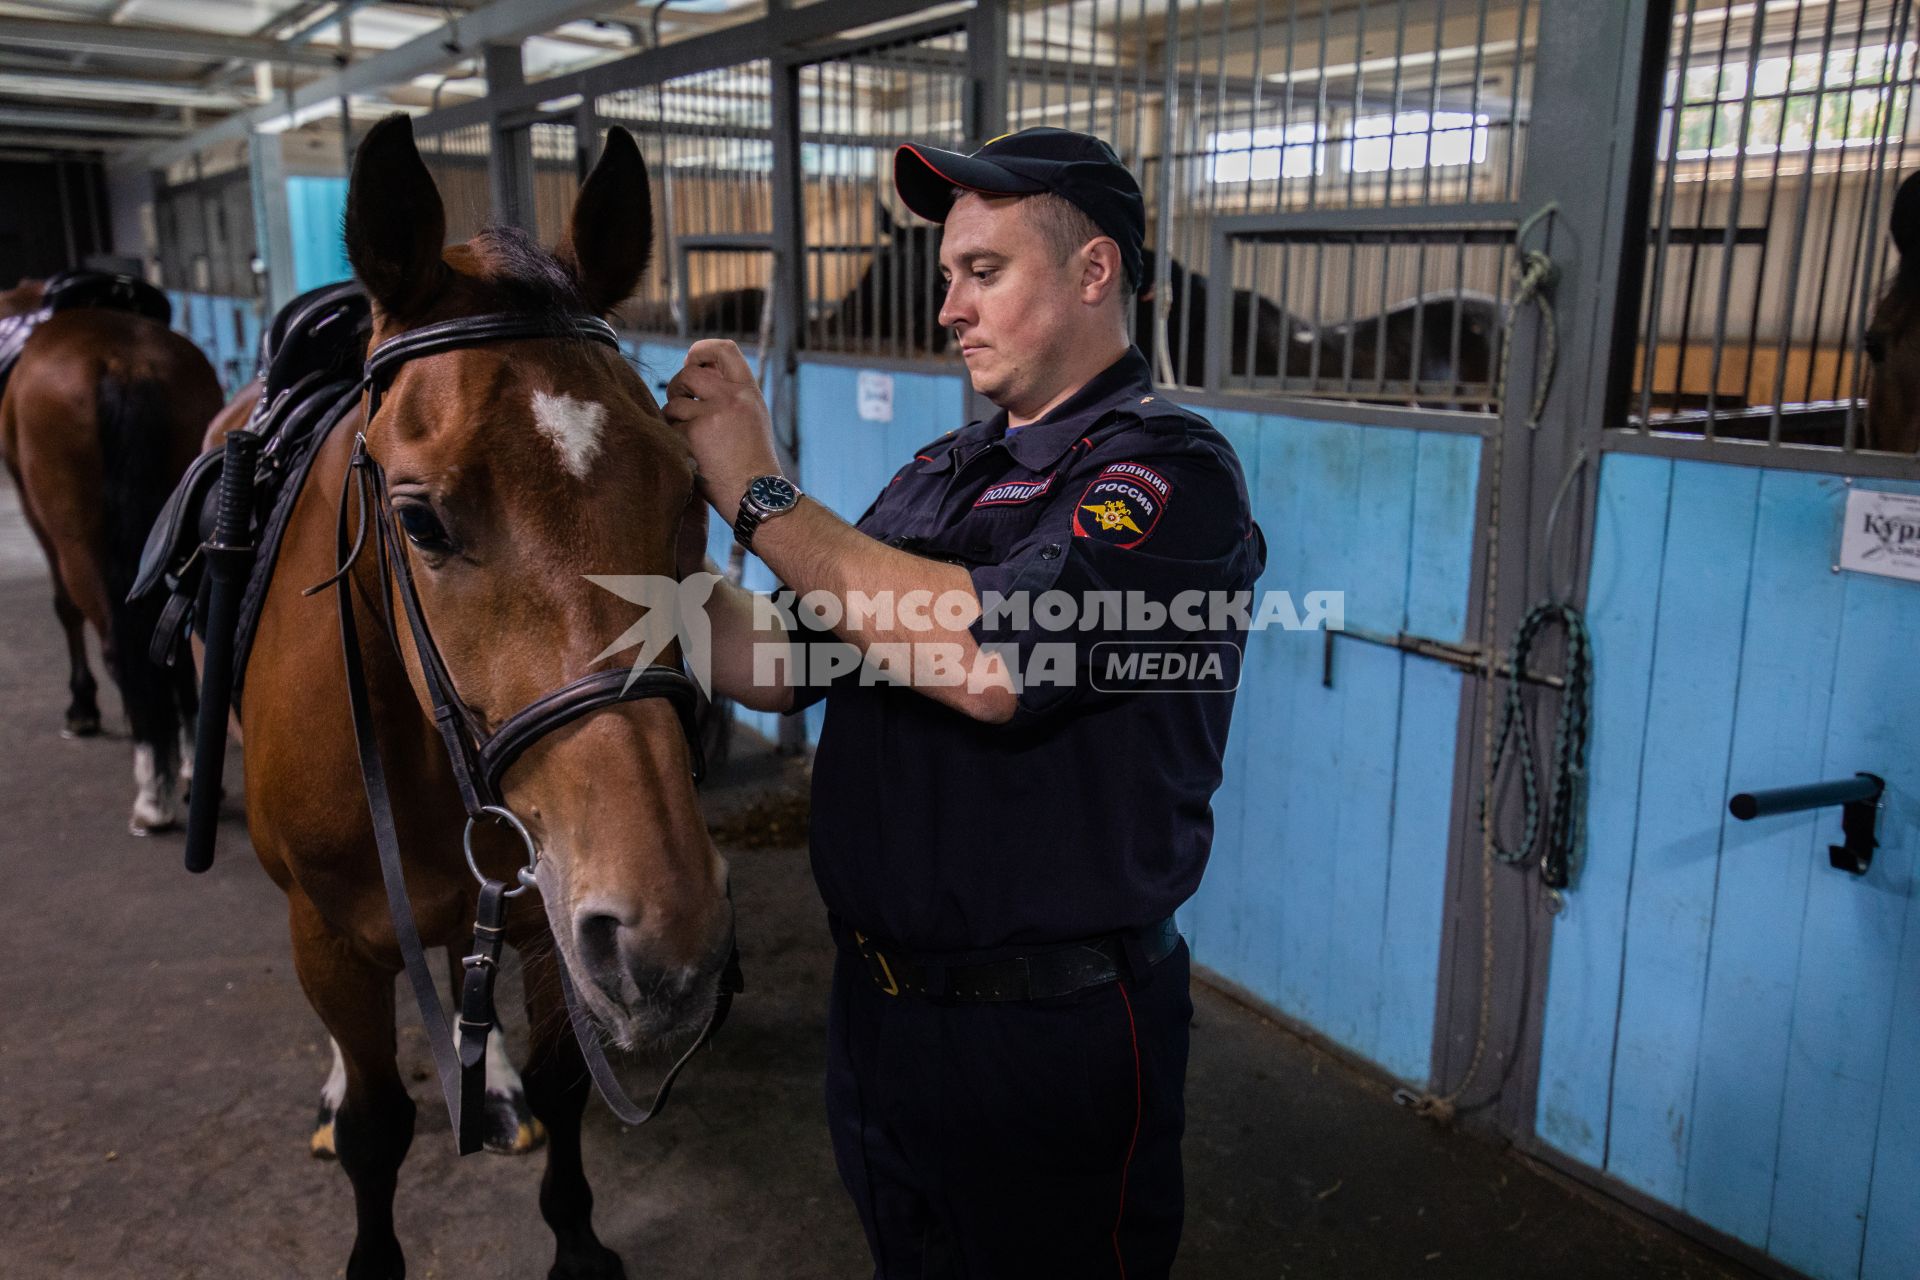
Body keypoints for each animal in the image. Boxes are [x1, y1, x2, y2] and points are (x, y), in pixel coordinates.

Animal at [0, 280, 222, 832]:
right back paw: (186, 766)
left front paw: (81, 707)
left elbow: (64, 609)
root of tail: (126, 365)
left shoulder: (40, 521)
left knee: (118, 643)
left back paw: (151, 793)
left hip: (77, 541)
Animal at [226, 115, 733, 1274]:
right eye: (419, 521)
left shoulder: (551, 917)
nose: (669, 935)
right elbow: (377, 1127)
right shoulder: (329, 932)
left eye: (688, 490)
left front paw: (576, 1236)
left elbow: (560, 1077)